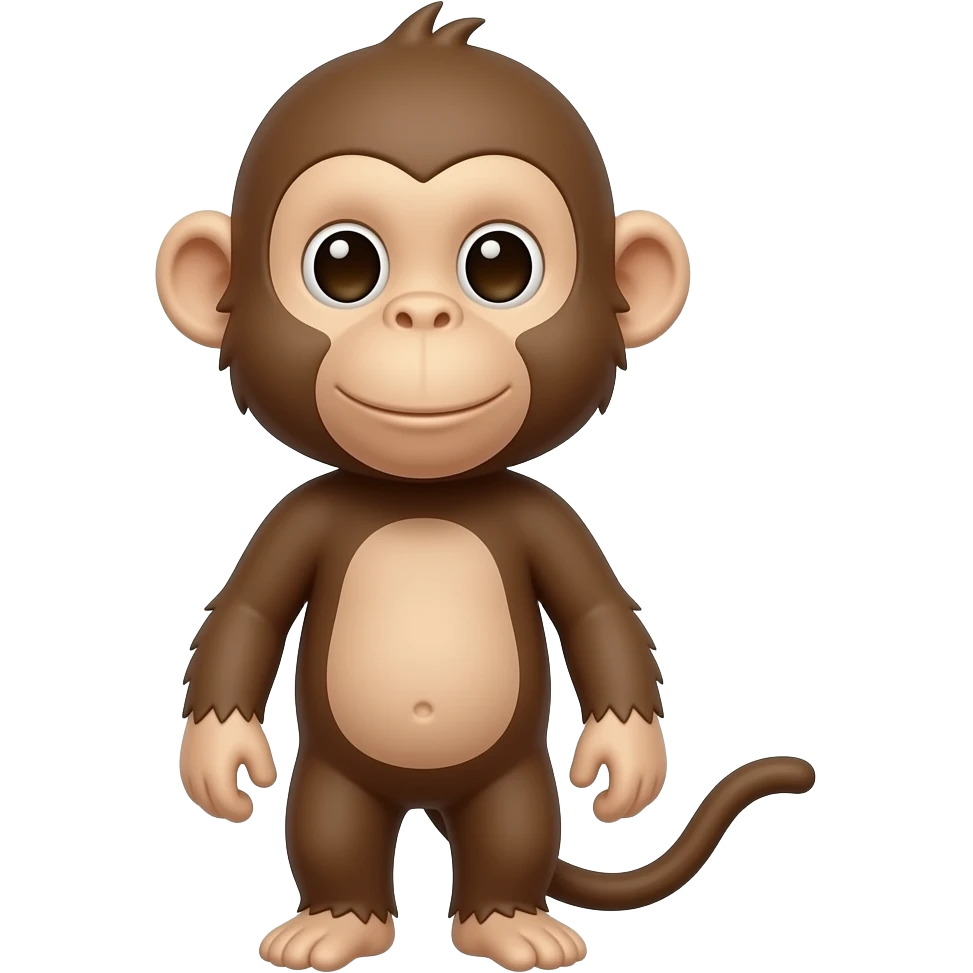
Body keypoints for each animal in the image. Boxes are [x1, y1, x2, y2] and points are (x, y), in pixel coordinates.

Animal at [159, 4, 815, 971]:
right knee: (330, 825)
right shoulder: (298, 516)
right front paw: (218, 756)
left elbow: (597, 612)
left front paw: (627, 757)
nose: (423, 315)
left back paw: (507, 921)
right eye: (343, 264)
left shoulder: (545, 516)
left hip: (513, 777)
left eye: (500, 265)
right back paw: (337, 921)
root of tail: (427, 803)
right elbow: (245, 610)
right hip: (334, 773)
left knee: (513, 829)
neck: (423, 494)